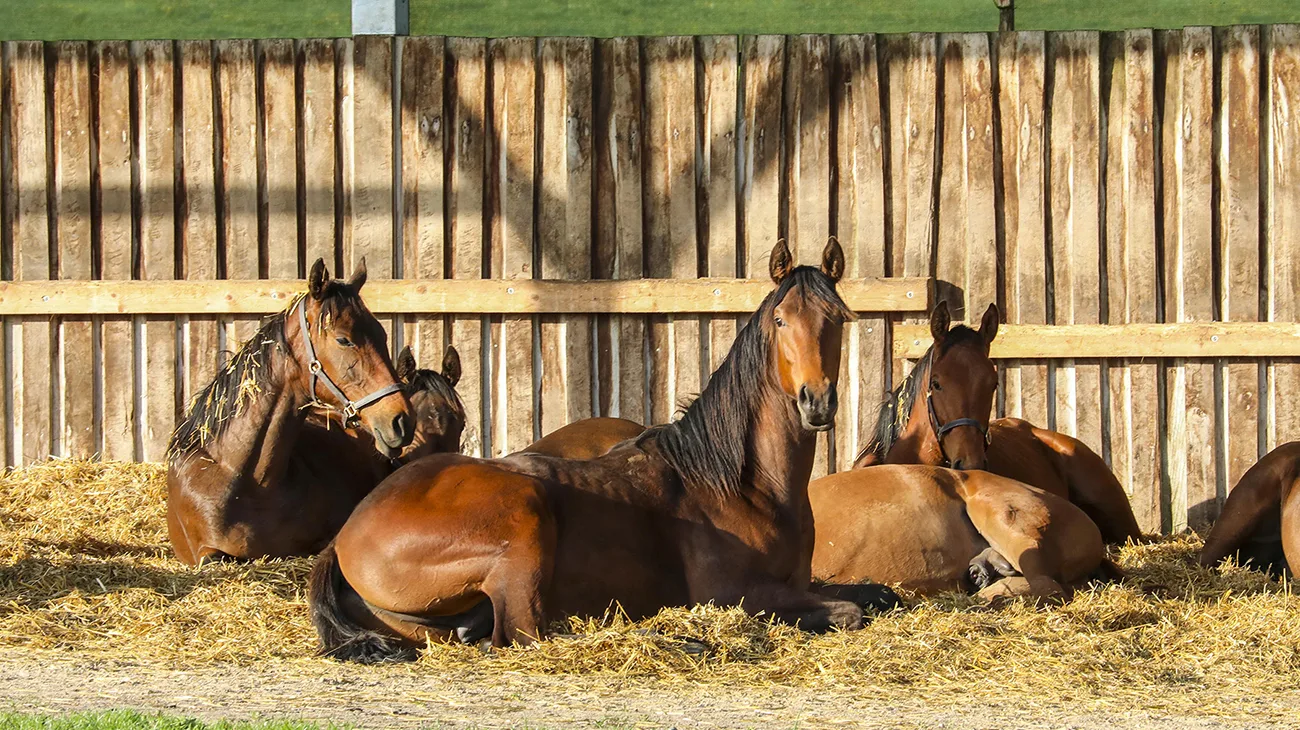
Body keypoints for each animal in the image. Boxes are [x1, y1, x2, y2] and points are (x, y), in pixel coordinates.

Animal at [309, 239, 904, 659]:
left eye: (836, 321)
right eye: (781, 321)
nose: (816, 402)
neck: (743, 485)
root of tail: (345, 536)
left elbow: (882, 595)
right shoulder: (734, 593)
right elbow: (849, 612)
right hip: (525, 520)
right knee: (527, 634)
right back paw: (678, 640)